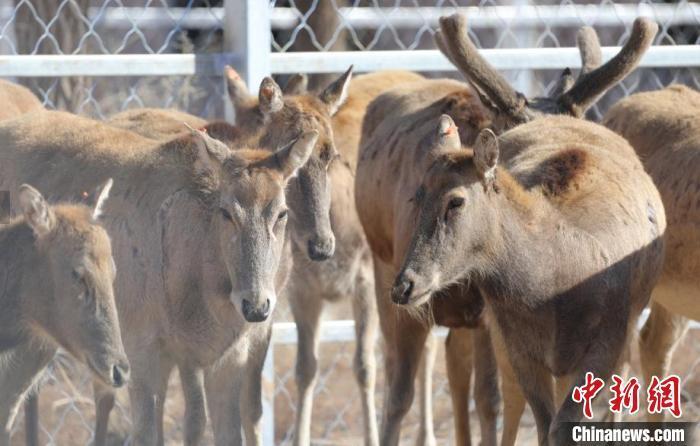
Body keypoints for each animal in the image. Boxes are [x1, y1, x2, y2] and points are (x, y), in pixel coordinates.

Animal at [356, 13, 660, 446]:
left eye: (456, 202)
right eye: (416, 197)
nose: (406, 284)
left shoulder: (605, 340)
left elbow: (510, 405)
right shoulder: (507, 337)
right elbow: (408, 394)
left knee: (461, 370)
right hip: (383, 268)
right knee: (404, 381)